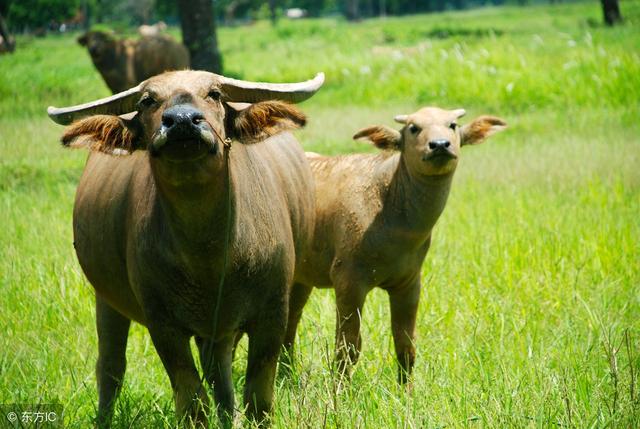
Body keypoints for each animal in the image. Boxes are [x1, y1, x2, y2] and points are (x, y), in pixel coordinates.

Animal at [48, 69, 324, 424]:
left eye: (215, 94)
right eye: (147, 100)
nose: (181, 121)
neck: (209, 257)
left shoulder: (271, 313)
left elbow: (258, 398)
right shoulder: (162, 323)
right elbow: (193, 401)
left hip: (279, 299)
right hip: (106, 298)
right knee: (111, 368)